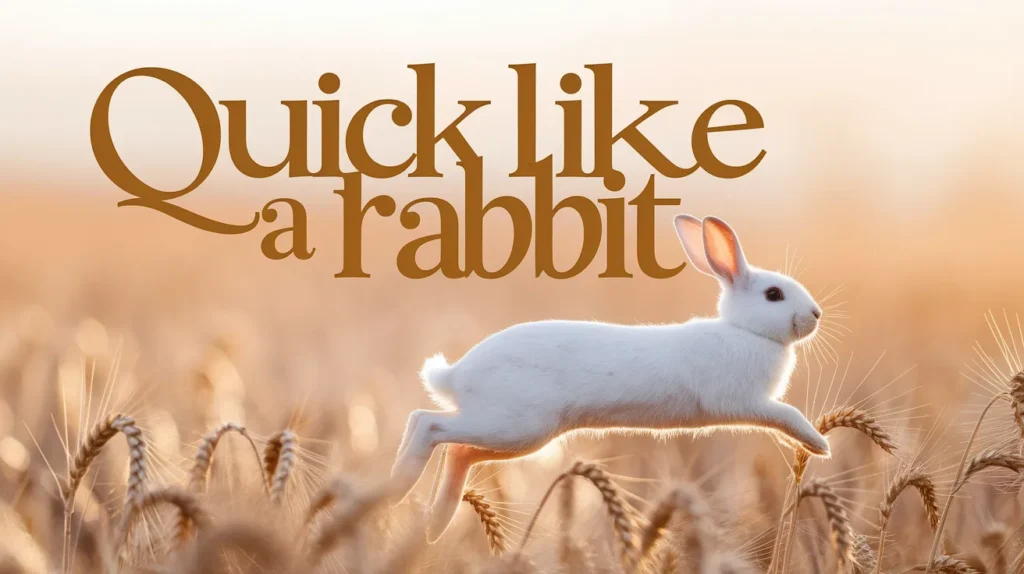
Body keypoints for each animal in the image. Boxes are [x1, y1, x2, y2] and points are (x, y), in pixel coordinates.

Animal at [390, 214, 829, 542]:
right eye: (774, 295)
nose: (816, 314)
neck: (746, 332)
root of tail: (455, 375)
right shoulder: (750, 403)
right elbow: (789, 416)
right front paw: (820, 444)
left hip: (519, 437)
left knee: (455, 449)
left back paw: (430, 518)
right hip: (513, 425)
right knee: (428, 424)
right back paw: (402, 485)